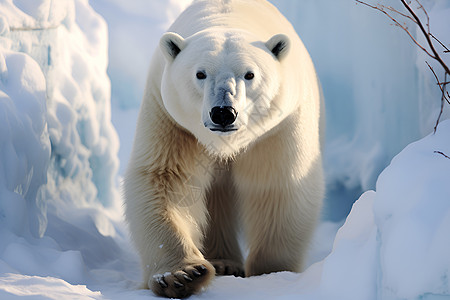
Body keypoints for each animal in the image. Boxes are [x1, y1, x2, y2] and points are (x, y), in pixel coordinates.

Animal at [124, 0, 324, 296]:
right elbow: (166, 179)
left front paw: (271, 272)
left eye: (250, 74)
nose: (223, 113)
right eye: (200, 73)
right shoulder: (170, 118)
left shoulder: (277, 128)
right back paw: (223, 262)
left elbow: (278, 186)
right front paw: (182, 275)